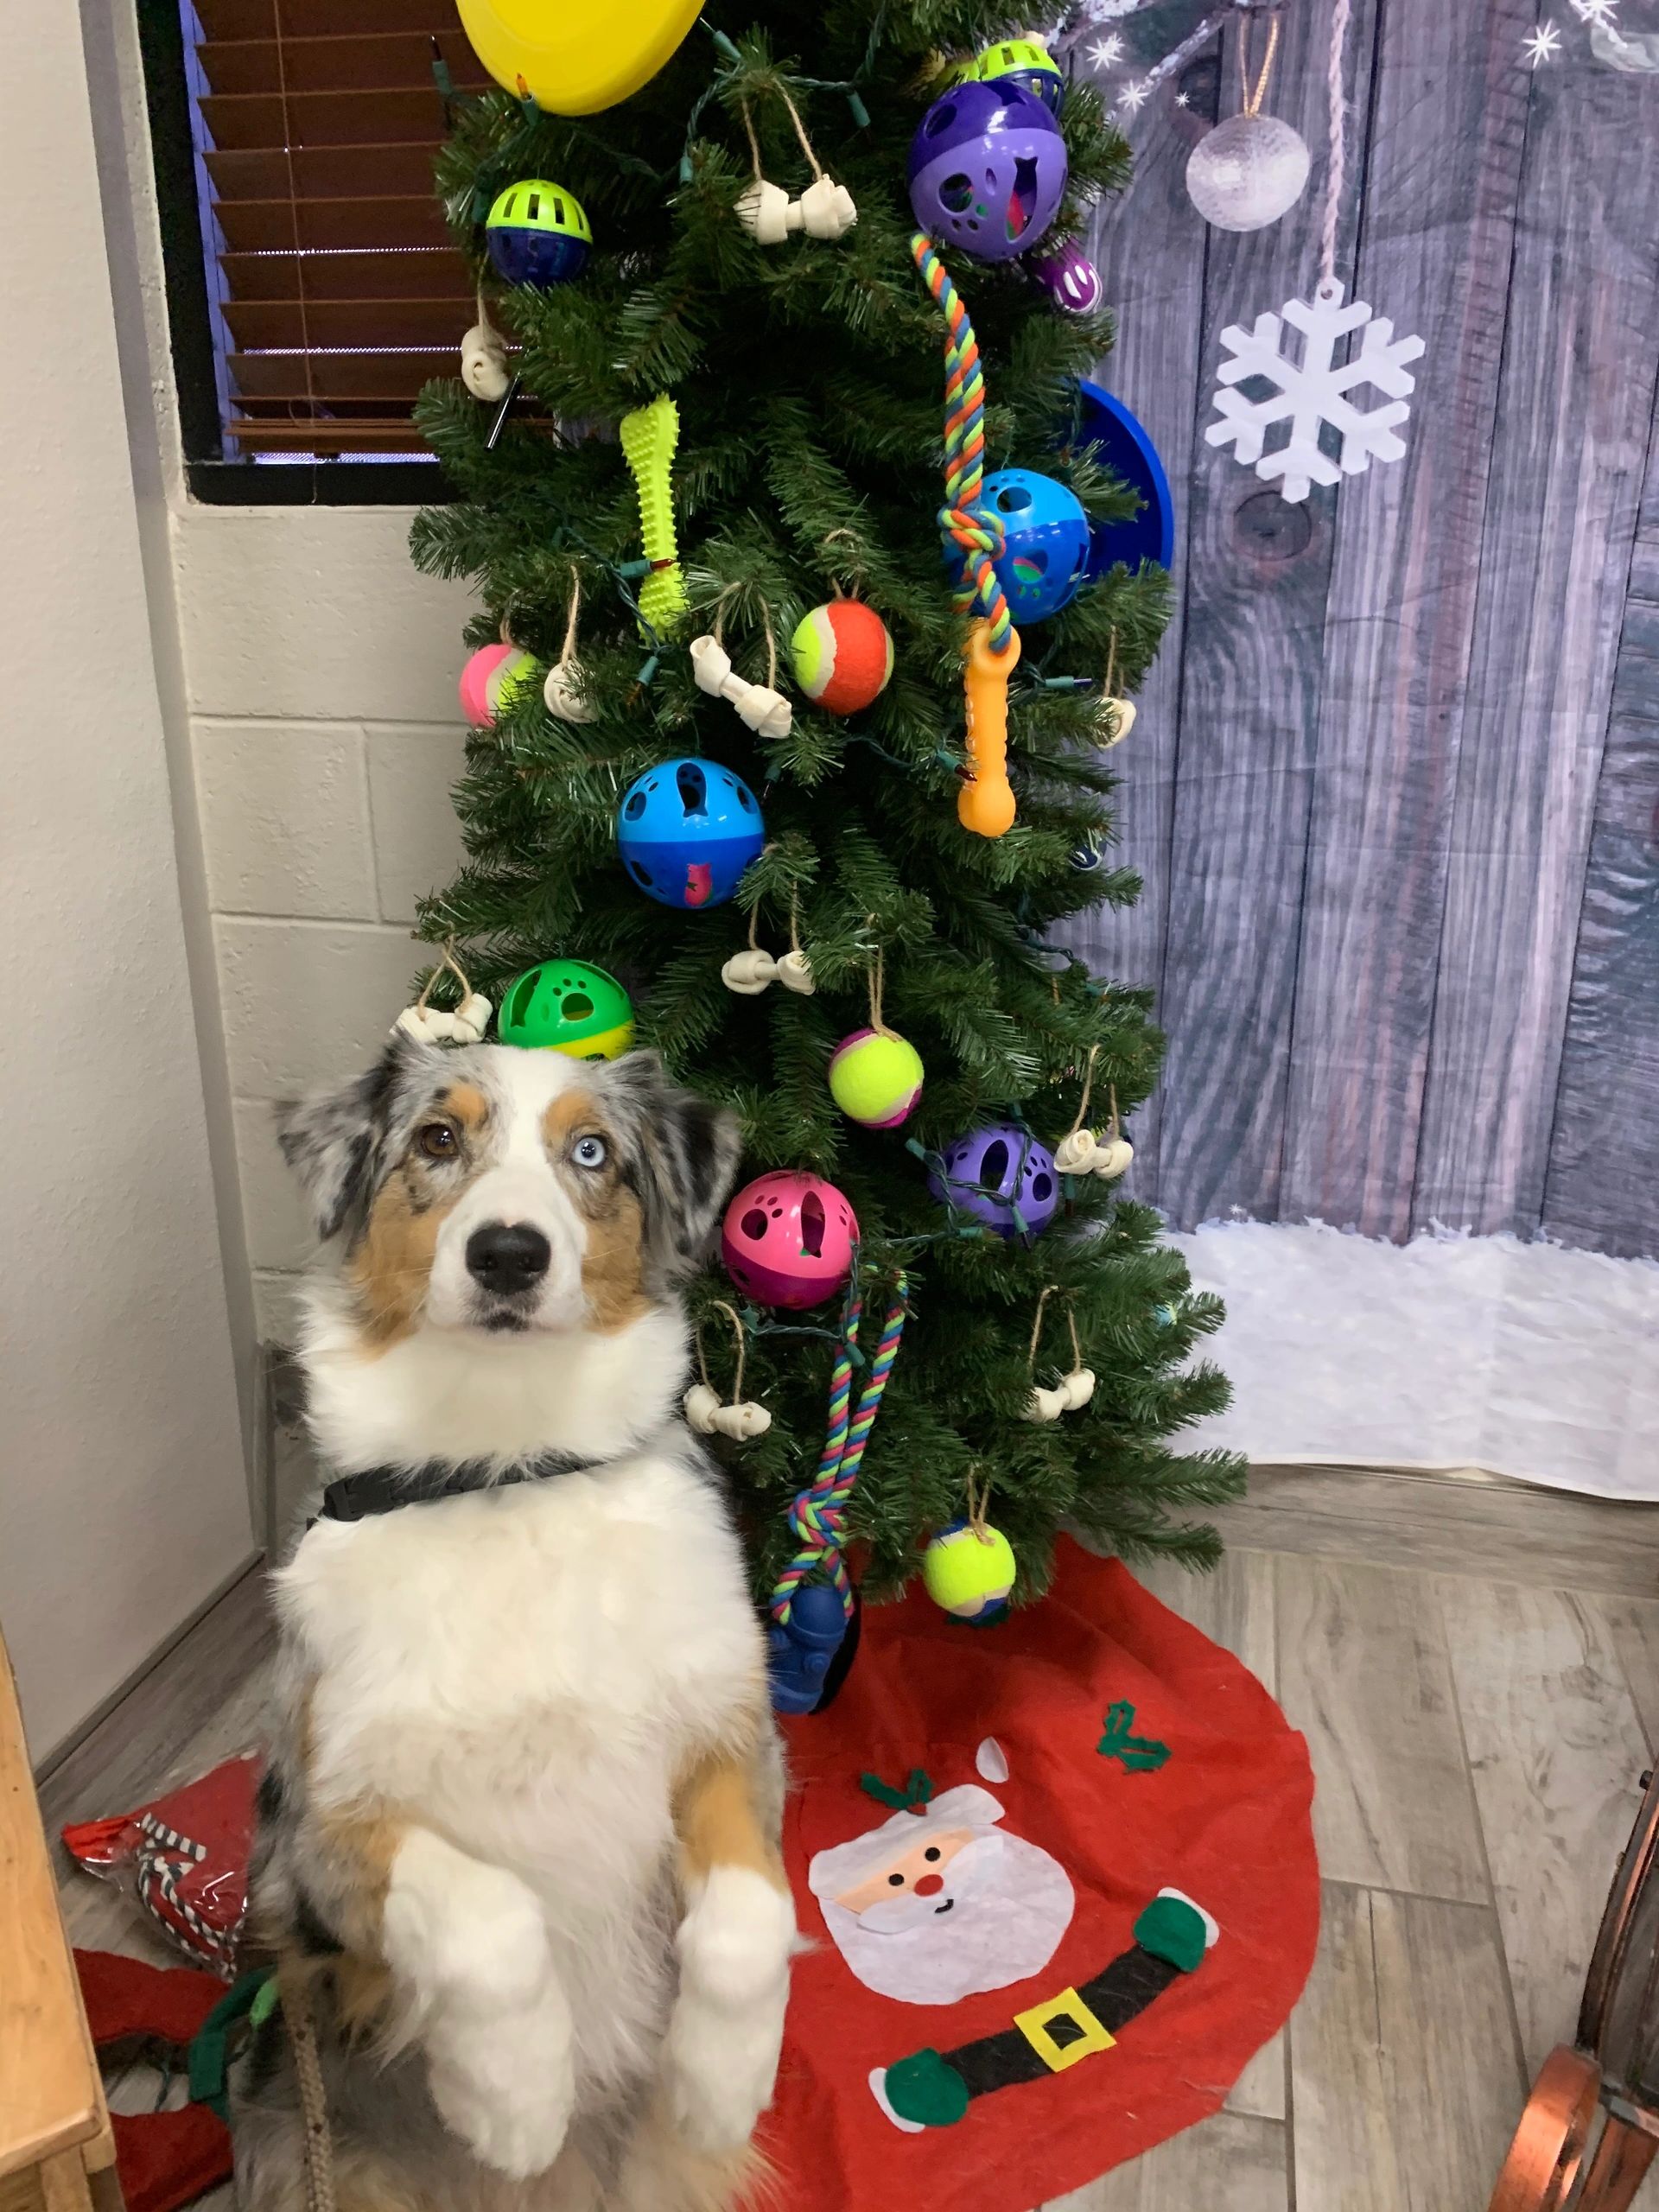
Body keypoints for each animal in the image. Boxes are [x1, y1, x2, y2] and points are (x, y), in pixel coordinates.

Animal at [238, 1039, 800, 2212]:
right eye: (436, 1138)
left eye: (591, 1151)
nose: (507, 1254)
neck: (507, 1463)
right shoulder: (311, 1844)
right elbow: (488, 1913)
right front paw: (514, 2101)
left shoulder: (730, 1737)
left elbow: (749, 1920)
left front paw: (721, 2084)